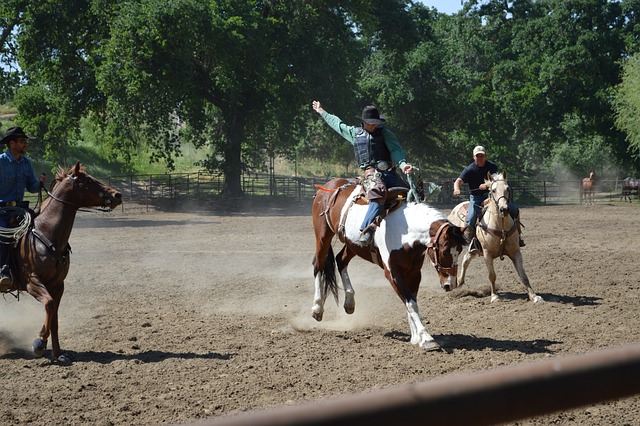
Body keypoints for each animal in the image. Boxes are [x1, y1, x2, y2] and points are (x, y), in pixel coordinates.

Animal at [4, 162, 121, 362]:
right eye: (88, 181)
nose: (117, 195)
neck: (47, 234)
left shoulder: (58, 285)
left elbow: (55, 319)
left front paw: (58, 354)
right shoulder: (32, 282)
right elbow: (49, 305)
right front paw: (39, 343)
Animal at [310, 178, 464, 352]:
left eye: (460, 250)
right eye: (444, 252)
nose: (450, 284)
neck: (406, 233)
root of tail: (330, 186)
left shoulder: (414, 273)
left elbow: (412, 302)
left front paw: (415, 337)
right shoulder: (393, 273)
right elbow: (410, 303)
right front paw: (426, 338)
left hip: (353, 245)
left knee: (340, 260)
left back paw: (349, 302)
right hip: (323, 235)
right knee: (318, 265)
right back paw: (317, 308)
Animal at [448, 171, 544, 304]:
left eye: (507, 188)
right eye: (493, 190)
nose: (504, 209)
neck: (500, 226)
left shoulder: (516, 252)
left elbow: (523, 276)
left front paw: (534, 296)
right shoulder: (487, 254)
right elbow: (492, 275)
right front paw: (494, 296)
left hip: (474, 249)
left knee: (466, 259)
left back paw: (460, 283)